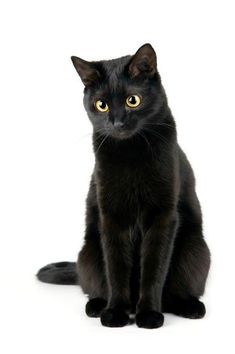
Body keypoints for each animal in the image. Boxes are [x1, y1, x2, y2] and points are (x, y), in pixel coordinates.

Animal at [37, 44, 211, 330]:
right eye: (101, 105)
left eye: (133, 100)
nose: (116, 123)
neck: (131, 154)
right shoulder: (111, 217)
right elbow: (117, 268)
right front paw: (116, 312)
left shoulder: (162, 218)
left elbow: (153, 271)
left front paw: (149, 315)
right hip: (89, 252)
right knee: (95, 284)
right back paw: (98, 306)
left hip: (196, 251)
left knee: (176, 292)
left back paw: (190, 307)